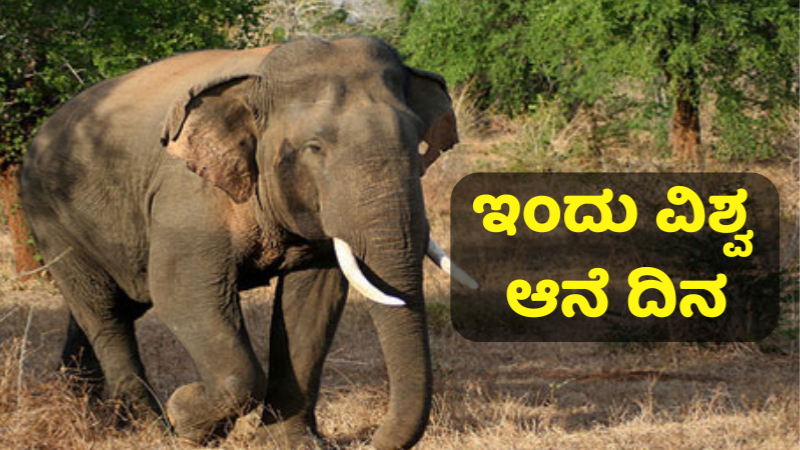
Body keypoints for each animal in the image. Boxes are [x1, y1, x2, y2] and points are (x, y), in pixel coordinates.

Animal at [20, 37, 478, 449]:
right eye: (314, 148)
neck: (260, 80)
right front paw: (186, 416)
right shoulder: (187, 197)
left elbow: (313, 300)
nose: (366, 441)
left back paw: (88, 410)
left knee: (105, 308)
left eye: (417, 142)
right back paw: (149, 430)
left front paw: (288, 444)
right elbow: (180, 294)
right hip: (50, 217)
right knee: (105, 312)